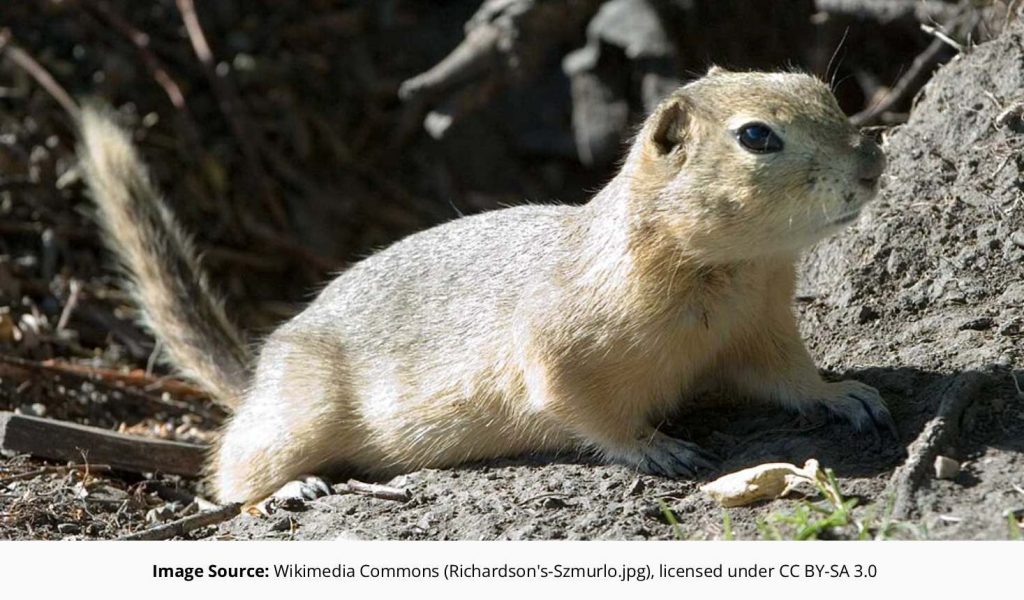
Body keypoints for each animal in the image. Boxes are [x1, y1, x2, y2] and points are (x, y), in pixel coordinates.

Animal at [76, 67, 894, 504]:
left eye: (823, 89)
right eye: (757, 136)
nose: (872, 163)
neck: (731, 272)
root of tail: (256, 375)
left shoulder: (761, 329)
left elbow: (788, 378)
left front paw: (843, 394)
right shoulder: (560, 347)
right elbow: (579, 406)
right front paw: (654, 448)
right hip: (295, 418)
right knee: (229, 470)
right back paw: (288, 490)